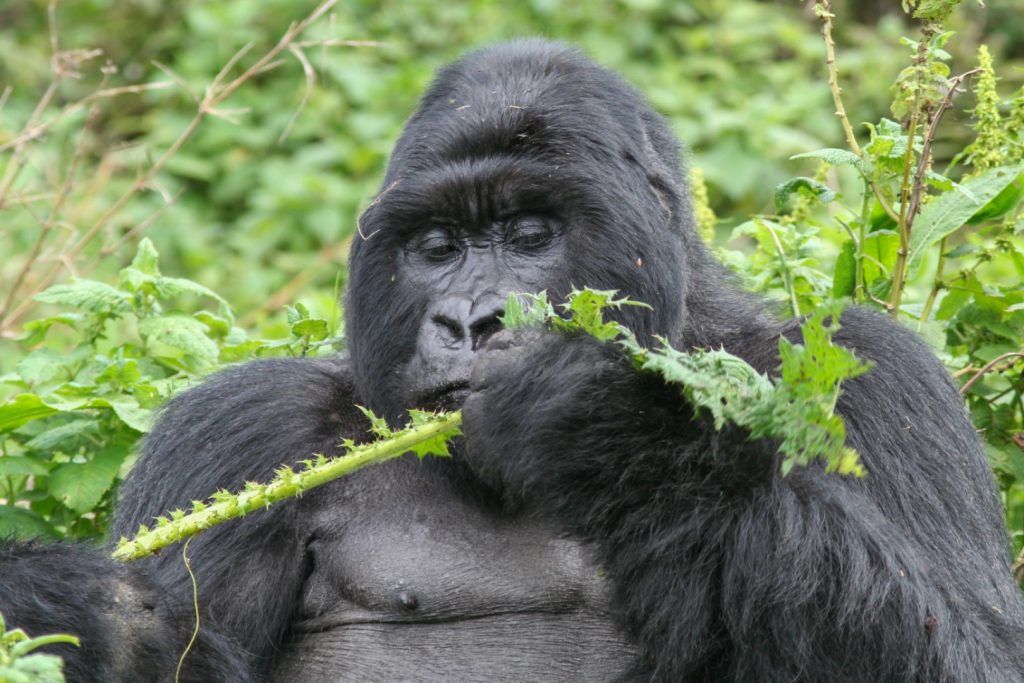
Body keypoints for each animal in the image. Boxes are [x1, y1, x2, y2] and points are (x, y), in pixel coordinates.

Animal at [2, 38, 1024, 683]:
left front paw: (604, 429)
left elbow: (971, 649)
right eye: (439, 246)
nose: (469, 319)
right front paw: (73, 618)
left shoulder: (879, 374)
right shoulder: (236, 429)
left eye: (531, 233)